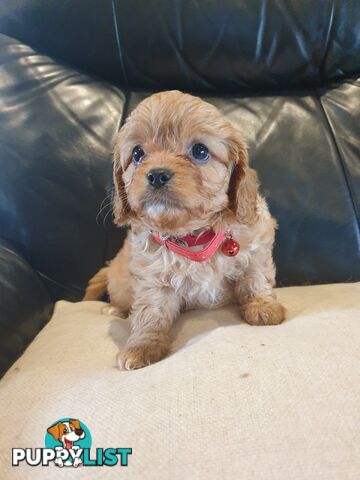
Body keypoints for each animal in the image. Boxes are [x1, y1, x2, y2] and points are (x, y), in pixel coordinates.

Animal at [86, 90, 286, 370]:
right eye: (137, 154)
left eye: (200, 151)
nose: (157, 175)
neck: (194, 233)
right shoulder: (151, 278)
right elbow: (151, 312)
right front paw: (141, 346)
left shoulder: (256, 247)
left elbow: (255, 279)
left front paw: (263, 307)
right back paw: (115, 309)